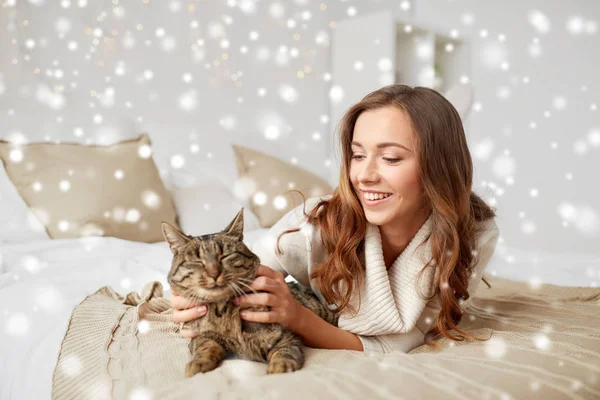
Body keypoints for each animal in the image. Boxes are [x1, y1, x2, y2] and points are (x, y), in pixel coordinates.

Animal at [161, 209, 338, 378]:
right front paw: (198, 364)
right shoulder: (199, 336)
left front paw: (279, 368)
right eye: (197, 261)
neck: (223, 311)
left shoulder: (285, 336)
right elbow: (205, 346)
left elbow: (284, 353)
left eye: (225, 256)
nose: (214, 273)